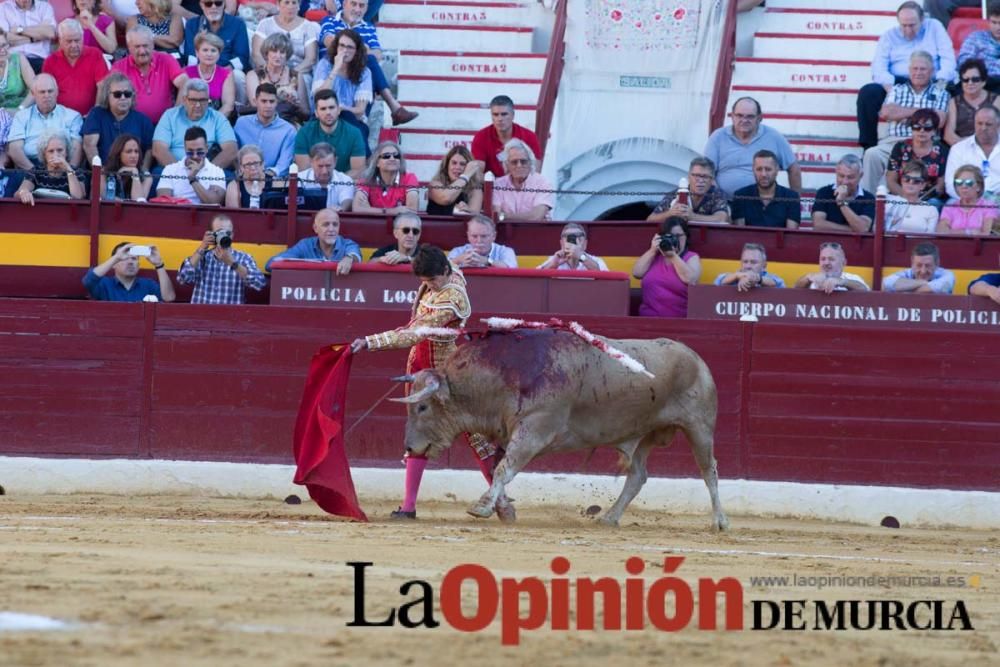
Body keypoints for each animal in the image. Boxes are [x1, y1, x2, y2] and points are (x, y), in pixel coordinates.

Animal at [394, 330, 732, 532]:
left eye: (421, 407)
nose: (409, 448)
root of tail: (695, 357)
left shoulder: (533, 430)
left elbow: (503, 469)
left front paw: (481, 507)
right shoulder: (508, 433)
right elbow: (496, 468)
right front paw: (500, 508)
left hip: (699, 428)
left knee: (709, 471)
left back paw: (720, 521)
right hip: (645, 433)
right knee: (638, 476)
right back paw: (610, 517)